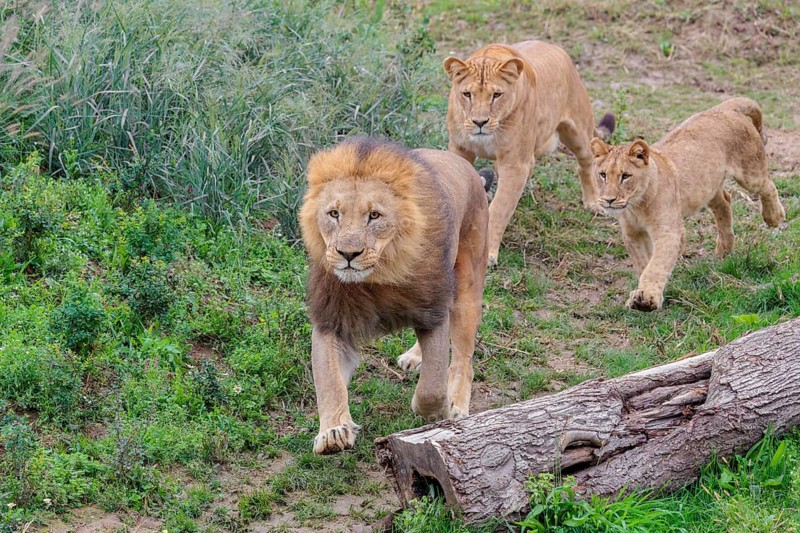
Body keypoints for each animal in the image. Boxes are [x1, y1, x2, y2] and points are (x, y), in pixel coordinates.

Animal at [299, 137, 489, 454]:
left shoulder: (432, 311)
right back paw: (414, 356)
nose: (348, 254)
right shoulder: (331, 318)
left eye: (374, 216)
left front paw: (441, 411)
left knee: (463, 359)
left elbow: (432, 386)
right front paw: (333, 432)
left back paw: (459, 404)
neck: (378, 277)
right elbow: (328, 380)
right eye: (334, 214)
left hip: (468, 287)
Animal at [444, 40, 615, 266]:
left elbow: (499, 209)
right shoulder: (460, 149)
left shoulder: (515, 164)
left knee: (586, 163)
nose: (480, 122)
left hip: (578, 132)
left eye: (496, 95)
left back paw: (593, 203)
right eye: (467, 94)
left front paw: (488, 254)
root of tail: (556, 48)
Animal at [590, 97, 785, 312]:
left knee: (768, 186)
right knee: (724, 201)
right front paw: (640, 294)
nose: (608, 200)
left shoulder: (670, 232)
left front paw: (647, 299)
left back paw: (774, 217)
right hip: (708, 185)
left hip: (750, 174)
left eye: (625, 176)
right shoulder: (633, 234)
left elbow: (656, 264)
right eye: (603, 175)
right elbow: (643, 263)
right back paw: (724, 250)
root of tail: (727, 107)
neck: (636, 206)